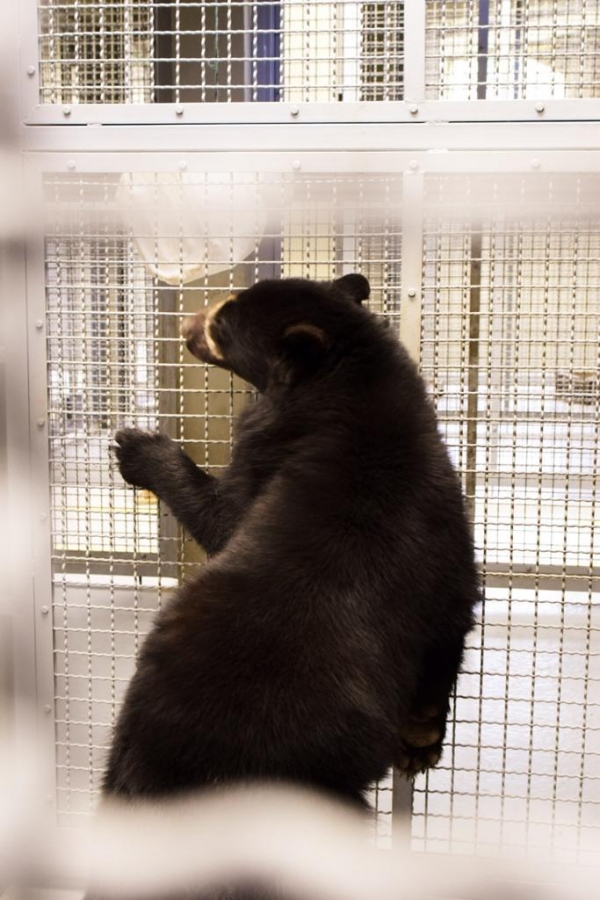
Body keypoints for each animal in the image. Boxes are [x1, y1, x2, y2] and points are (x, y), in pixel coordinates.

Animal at [105, 274, 478, 808]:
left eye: (222, 323)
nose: (184, 324)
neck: (349, 385)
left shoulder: (270, 448)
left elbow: (223, 515)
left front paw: (136, 447)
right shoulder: (446, 527)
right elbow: (454, 619)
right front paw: (419, 737)